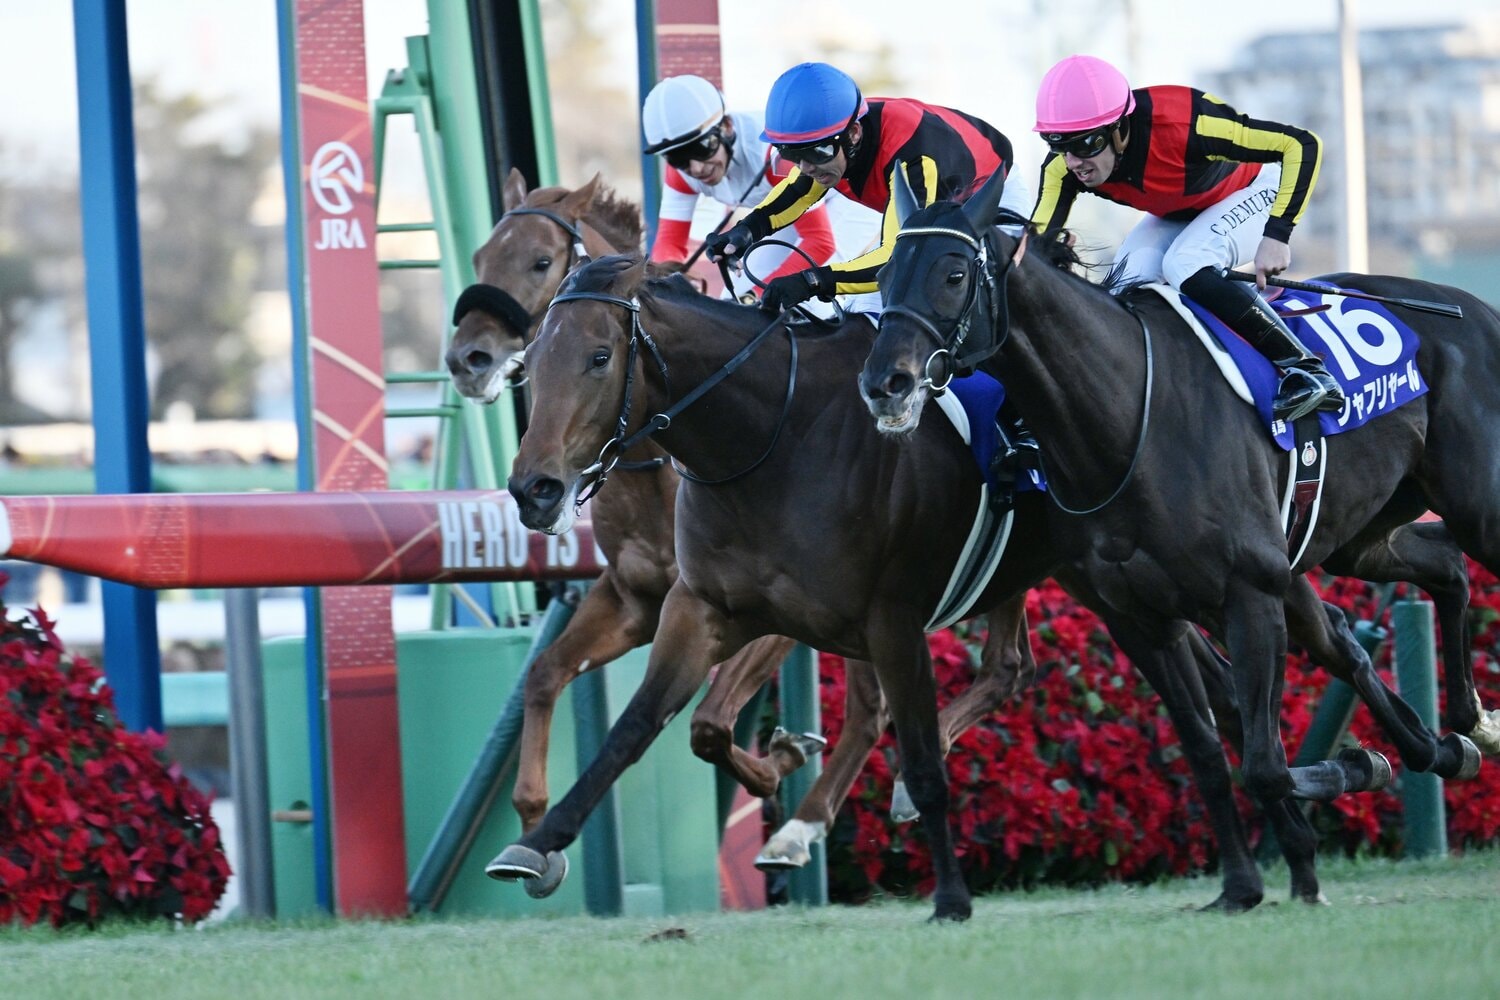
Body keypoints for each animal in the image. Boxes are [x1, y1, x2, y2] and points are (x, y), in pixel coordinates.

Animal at [487, 254, 1426, 919]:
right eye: (532, 365)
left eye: (600, 356)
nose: (534, 487)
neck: (771, 436)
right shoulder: (700, 606)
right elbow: (640, 729)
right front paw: (539, 843)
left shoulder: (884, 618)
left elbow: (902, 748)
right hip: (1123, 585)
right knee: (1227, 695)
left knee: (1300, 651)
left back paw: (1387, 762)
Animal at [858, 168, 1499, 821]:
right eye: (883, 275)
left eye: (954, 273)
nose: (885, 383)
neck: (1126, 420)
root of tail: (1476, 309)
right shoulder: (1140, 614)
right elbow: (1232, 757)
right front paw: (1386, 757)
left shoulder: (1251, 590)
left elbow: (1265, 769)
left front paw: (1362, 763)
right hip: (1362, 536)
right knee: (1445, 567)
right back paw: (1465, 728)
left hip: (1480, 512)